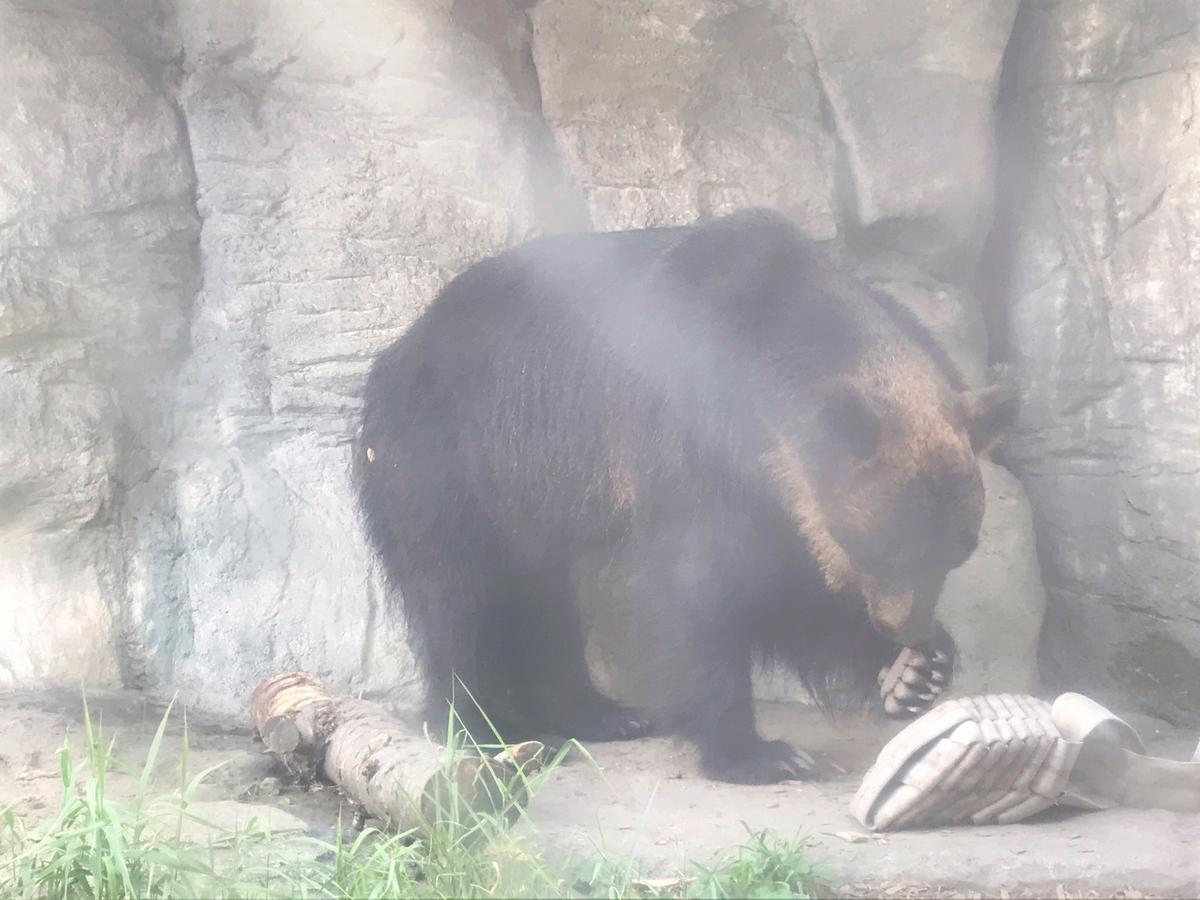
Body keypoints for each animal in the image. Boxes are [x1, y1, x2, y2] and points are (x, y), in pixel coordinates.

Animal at [355, 210, 1012, 782]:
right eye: (880, 547)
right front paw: (761, 754)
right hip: (451, 461)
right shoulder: (688, 435)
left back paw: (604, 713)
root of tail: (400, 348)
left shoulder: (779, 488)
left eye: (955, 552)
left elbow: (786, 587)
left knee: (546, 601)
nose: (904, 628)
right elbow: (702, 586)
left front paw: (914, 673)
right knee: (456, 595)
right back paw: (483, 727)